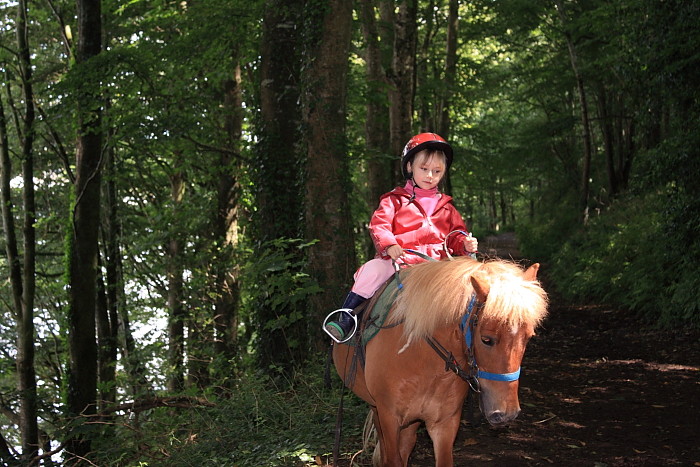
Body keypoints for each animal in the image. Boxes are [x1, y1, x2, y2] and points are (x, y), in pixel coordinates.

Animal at [332, 257, 548, 467]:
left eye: (528, 337)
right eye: (487, 339)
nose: (507, 413)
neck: (425, 362)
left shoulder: (445, 423)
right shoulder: (389, 417)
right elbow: (392, 459)